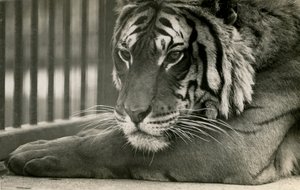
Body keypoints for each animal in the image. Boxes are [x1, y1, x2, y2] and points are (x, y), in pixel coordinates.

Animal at [4, 0, 300, 185]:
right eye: (125, 54)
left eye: (174, 56)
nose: (133, 113)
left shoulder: (239, 142)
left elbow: (117, 145)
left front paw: (34, 153)